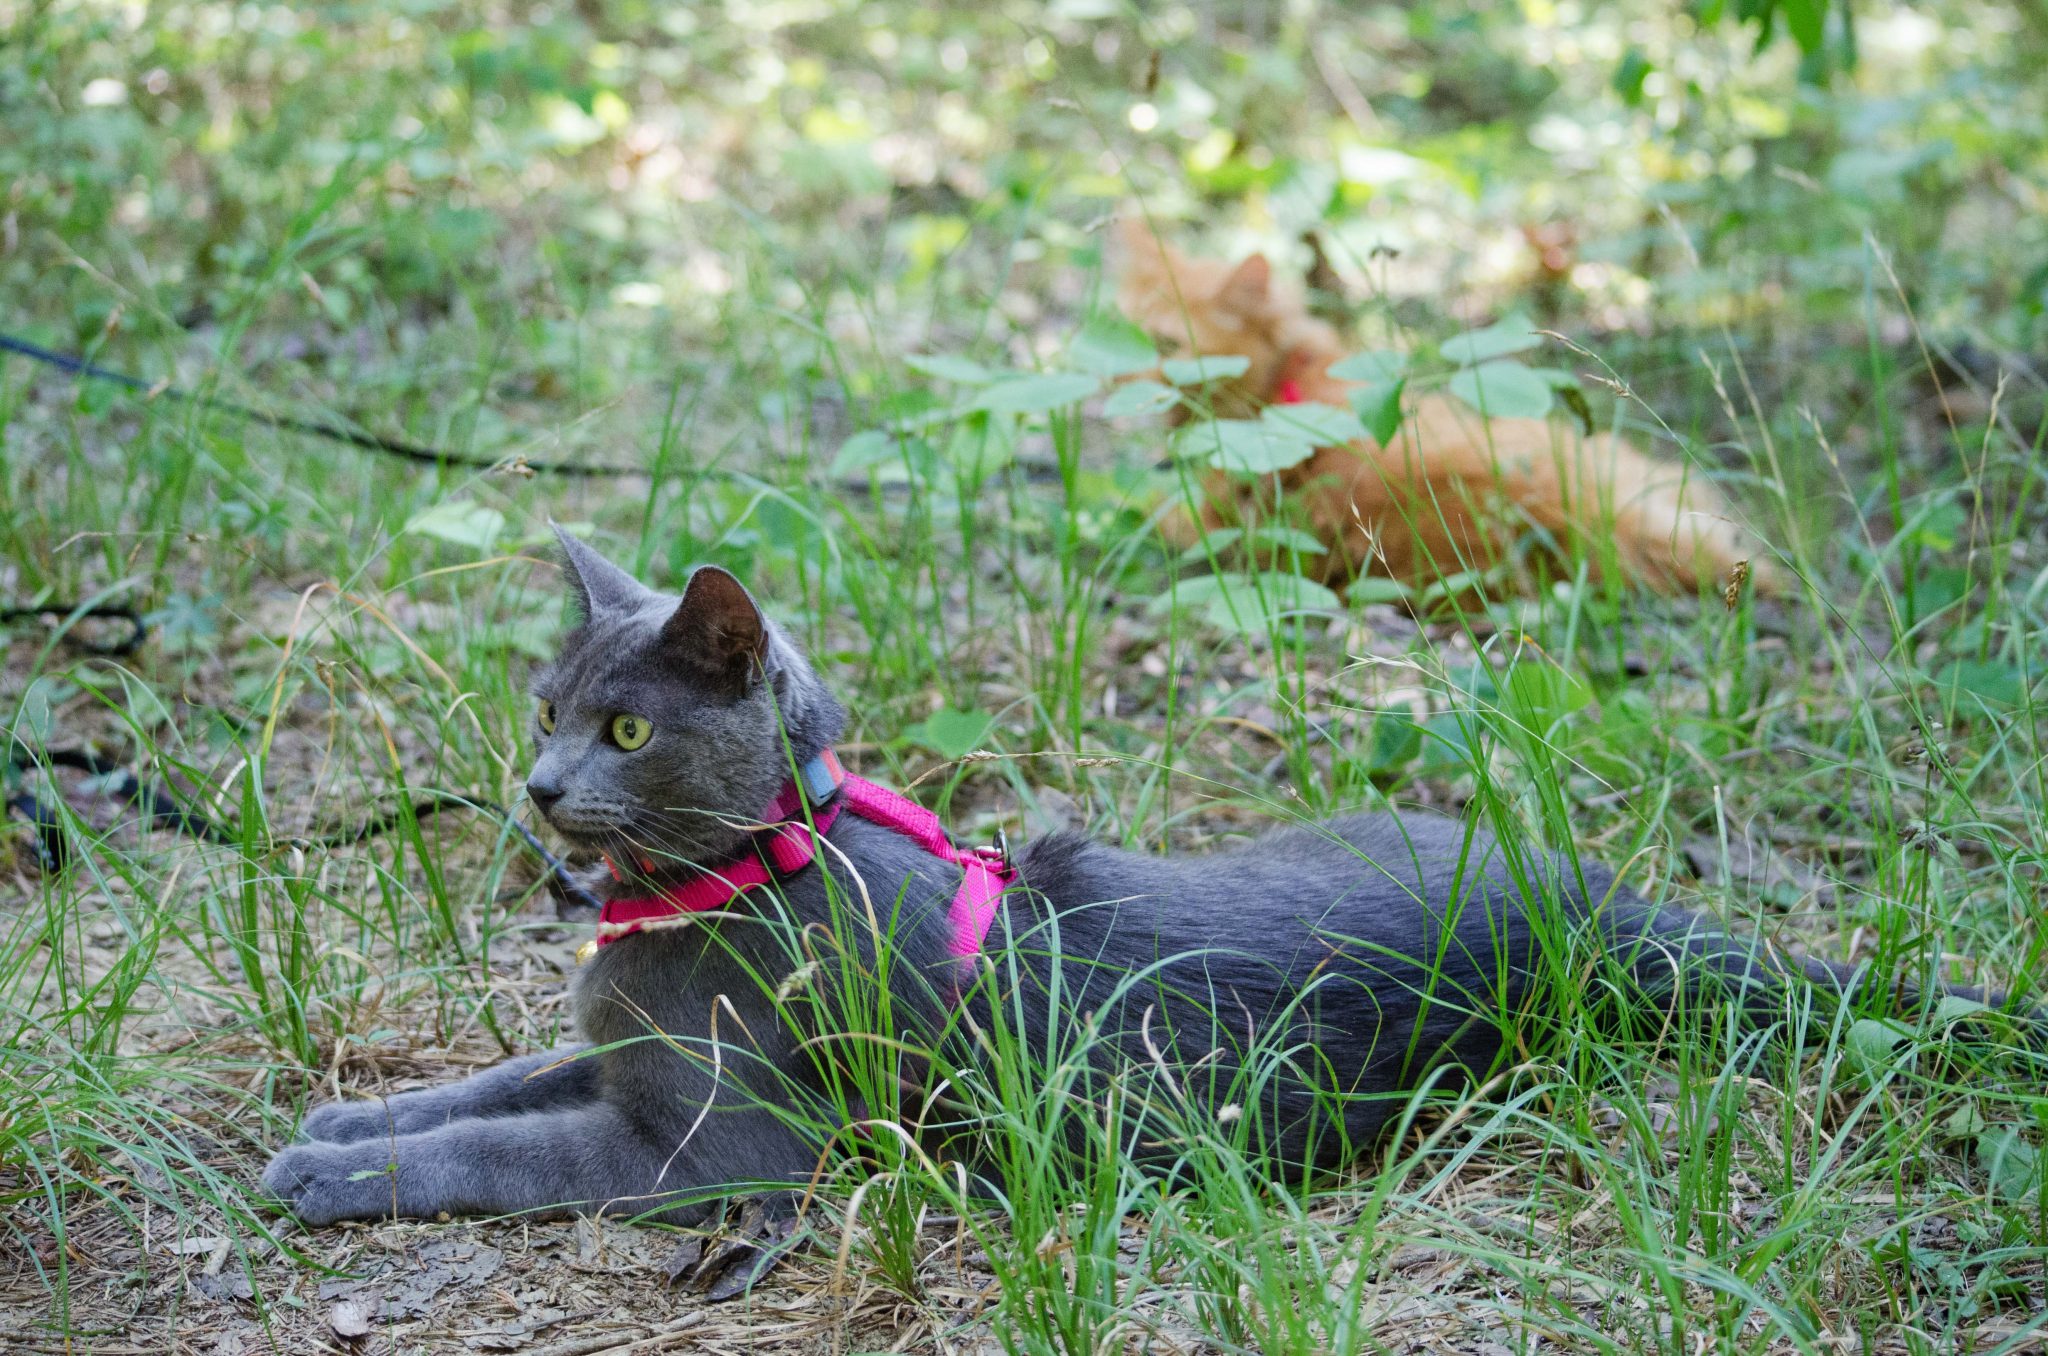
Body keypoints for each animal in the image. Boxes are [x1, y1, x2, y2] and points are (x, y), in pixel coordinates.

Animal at [256, 532, 1998, 1229]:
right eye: (548, 710)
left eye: (625, 726)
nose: (544, 789)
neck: (712, 885)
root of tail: (1593, 900)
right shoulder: (616, 1056)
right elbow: (492, 1081)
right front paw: (340, 1126)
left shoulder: (718, 1150)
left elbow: (508, 1150)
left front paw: (336, 1178)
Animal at [1114, 220, 1769, 598]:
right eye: (1121, 329)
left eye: (1166, 345)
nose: (1115, 376)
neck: (1281, 388)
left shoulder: (1200, 524)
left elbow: (1151, 511)